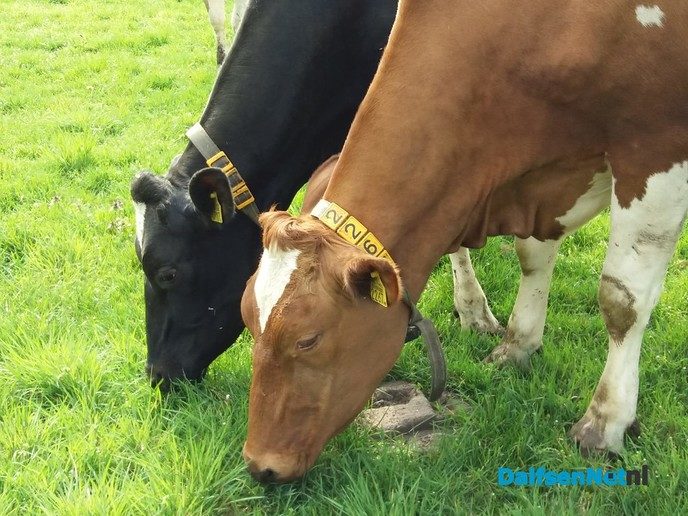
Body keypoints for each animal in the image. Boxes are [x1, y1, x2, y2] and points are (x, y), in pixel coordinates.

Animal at [242, 0, 688, 483]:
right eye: (247, 318)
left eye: (309, 339)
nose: (258, 464)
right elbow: (532, 256)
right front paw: (517, 346)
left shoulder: (656, 148)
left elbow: (620, 301)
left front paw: (604, 424)